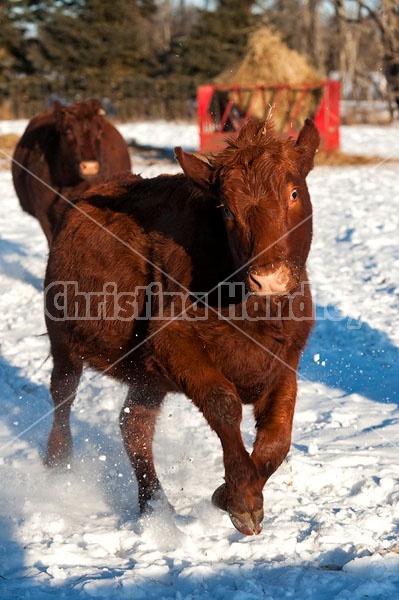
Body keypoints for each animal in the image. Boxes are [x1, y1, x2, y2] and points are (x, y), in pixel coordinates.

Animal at [43, 117, 320, 536]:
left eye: (293, 193)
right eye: (226, 210)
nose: (269, 278)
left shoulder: (285, 358)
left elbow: (278, 435)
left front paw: (228, 493)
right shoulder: (172, 340)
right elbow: (224, 404)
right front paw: (242, 500)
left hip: (147, 378)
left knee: (134, 425)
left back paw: (154, 505)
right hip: (63, 339)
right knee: (63, 394)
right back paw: (58, 465)